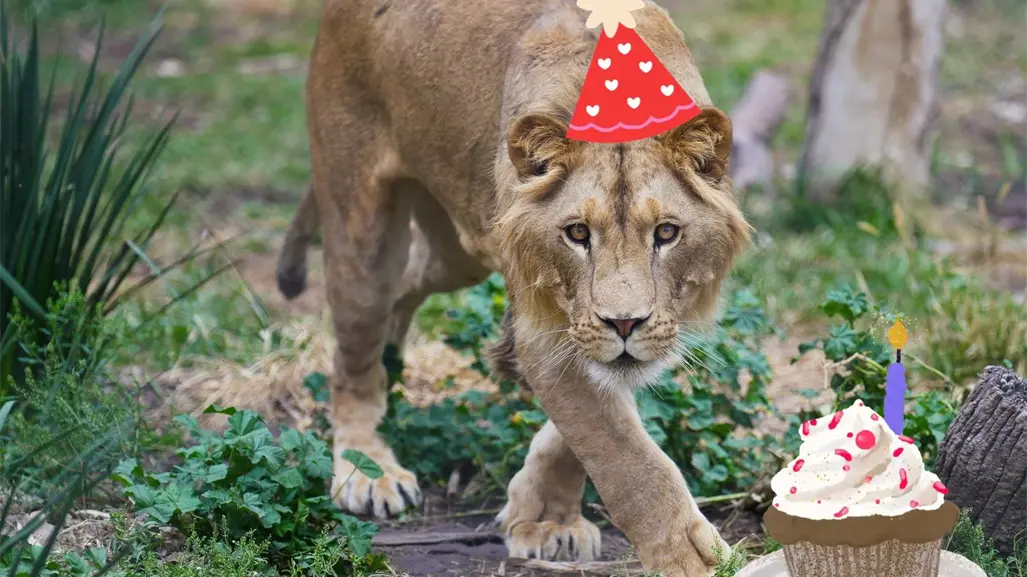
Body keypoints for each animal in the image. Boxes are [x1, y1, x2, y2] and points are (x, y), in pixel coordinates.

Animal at [275, 0, 751, 574]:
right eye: (577, 233)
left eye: (666, 233)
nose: (624, 323)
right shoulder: (548, 327)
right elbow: (624, 458)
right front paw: (691, 559)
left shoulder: (653, 321)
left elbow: (587, 428)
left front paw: (545, 518)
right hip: (361, 226)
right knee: (353, 357)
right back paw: (368, 469)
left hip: (458, 251)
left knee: (409, 286)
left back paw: (394, 365)